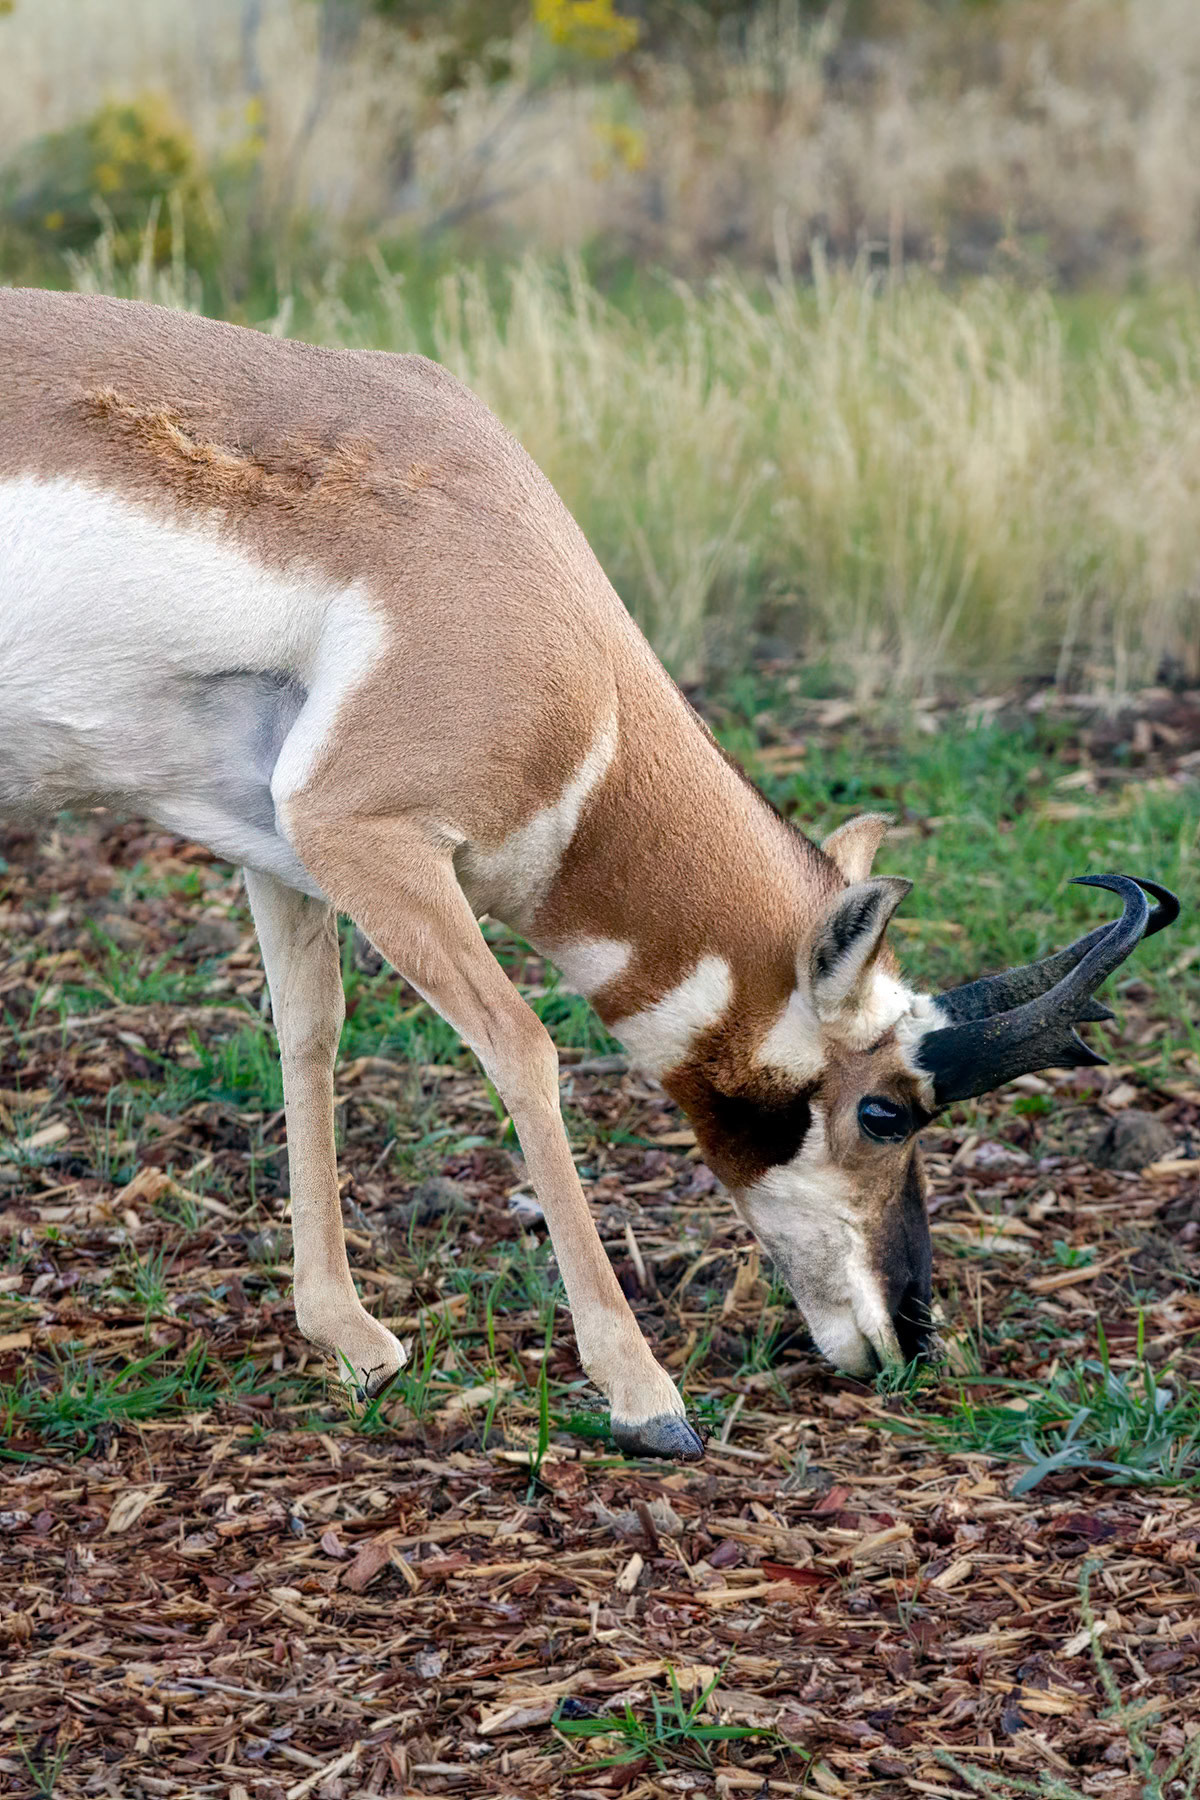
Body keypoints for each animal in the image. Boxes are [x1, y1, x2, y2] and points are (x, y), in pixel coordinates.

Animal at [0, 290, 1178, 1461]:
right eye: (887, 1111)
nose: (911, 1334)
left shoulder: (276, 847)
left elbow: (310, 1031)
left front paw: (353, 1338)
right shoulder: (366, 836)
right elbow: (524, 1047)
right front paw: (643, 1394)